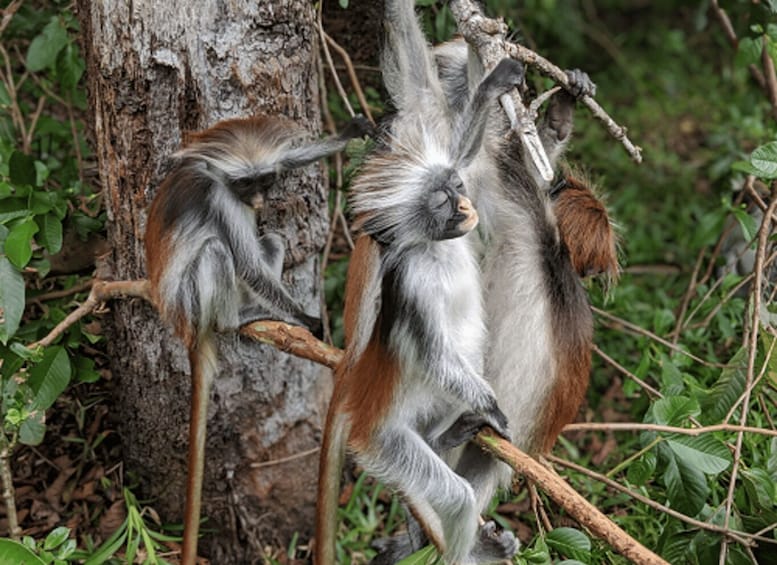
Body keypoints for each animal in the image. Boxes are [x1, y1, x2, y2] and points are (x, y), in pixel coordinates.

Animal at [144, 114, 369, 565]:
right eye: (245, 184)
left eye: (265, 179)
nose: (260, 198)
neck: (215, 176)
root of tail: (182, 323)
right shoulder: (220, 197)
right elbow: (246, 264)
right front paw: (305, 318)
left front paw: (345, 136)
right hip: (192, 299)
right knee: (219, 250)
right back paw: (236, 320)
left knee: (272, 241)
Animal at [314, 1, 527, 562]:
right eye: (440, 202)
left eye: (454, 187)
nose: (463, 206)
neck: (434, 249)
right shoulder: (408, 279)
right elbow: (430, 351)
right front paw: (493, 408)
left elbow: (463, 147)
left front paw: (491, 85)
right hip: (386, 440)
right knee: (453, 495)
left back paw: (449, 436)